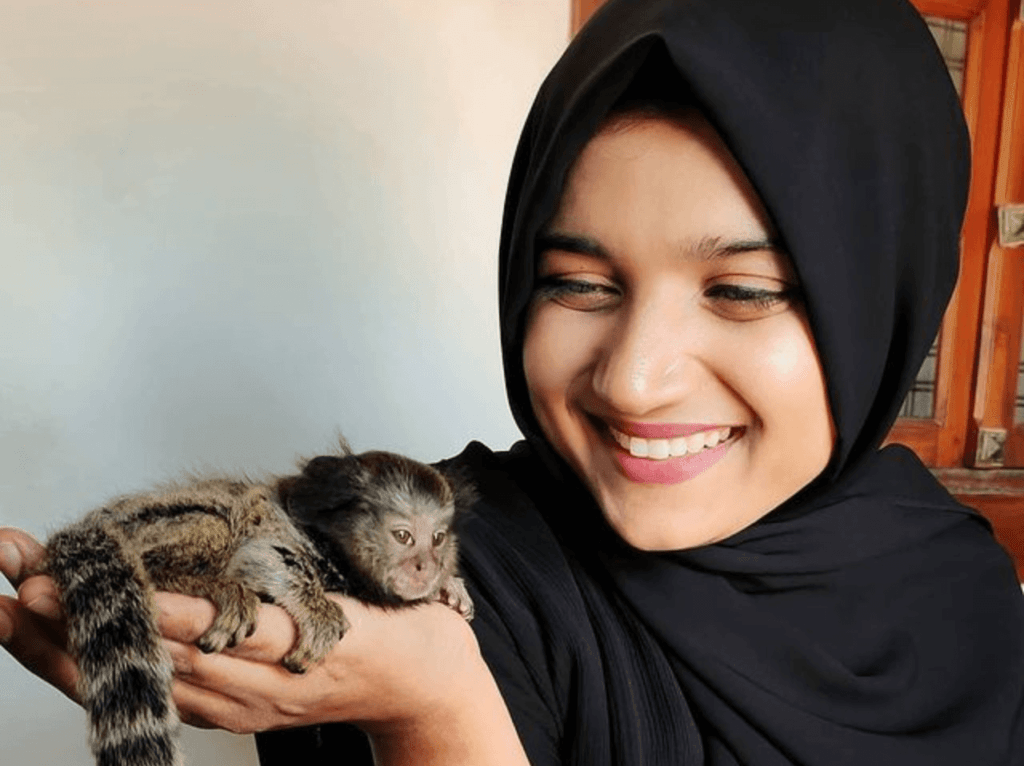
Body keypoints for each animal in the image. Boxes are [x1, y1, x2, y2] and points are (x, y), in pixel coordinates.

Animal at [34, 440, 476, 766]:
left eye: (438, 538)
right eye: (403, 536)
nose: (425, 567)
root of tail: (90, 528)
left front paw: (449, 586)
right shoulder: (283, 537)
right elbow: (266, 557)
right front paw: (319, 610)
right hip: (155, 524)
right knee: (212, 521)